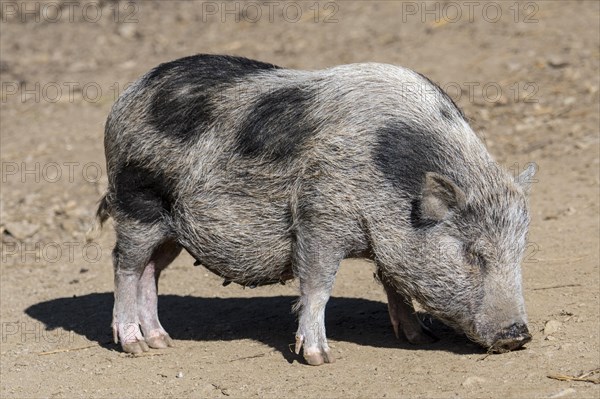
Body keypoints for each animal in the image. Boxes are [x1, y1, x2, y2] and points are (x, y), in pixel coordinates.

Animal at [95, 54, 540, 366]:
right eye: (472, 254)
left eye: (519, 252)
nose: (519, 335)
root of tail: (127, 96)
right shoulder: (318, 218)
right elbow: (318, 286)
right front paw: (320, 358)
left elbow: (394, 283)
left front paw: (418, 338)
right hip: (137, 203)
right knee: (124, 265)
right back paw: (135, 347)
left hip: (171, 230)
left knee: (151, 272)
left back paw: (162, 341)